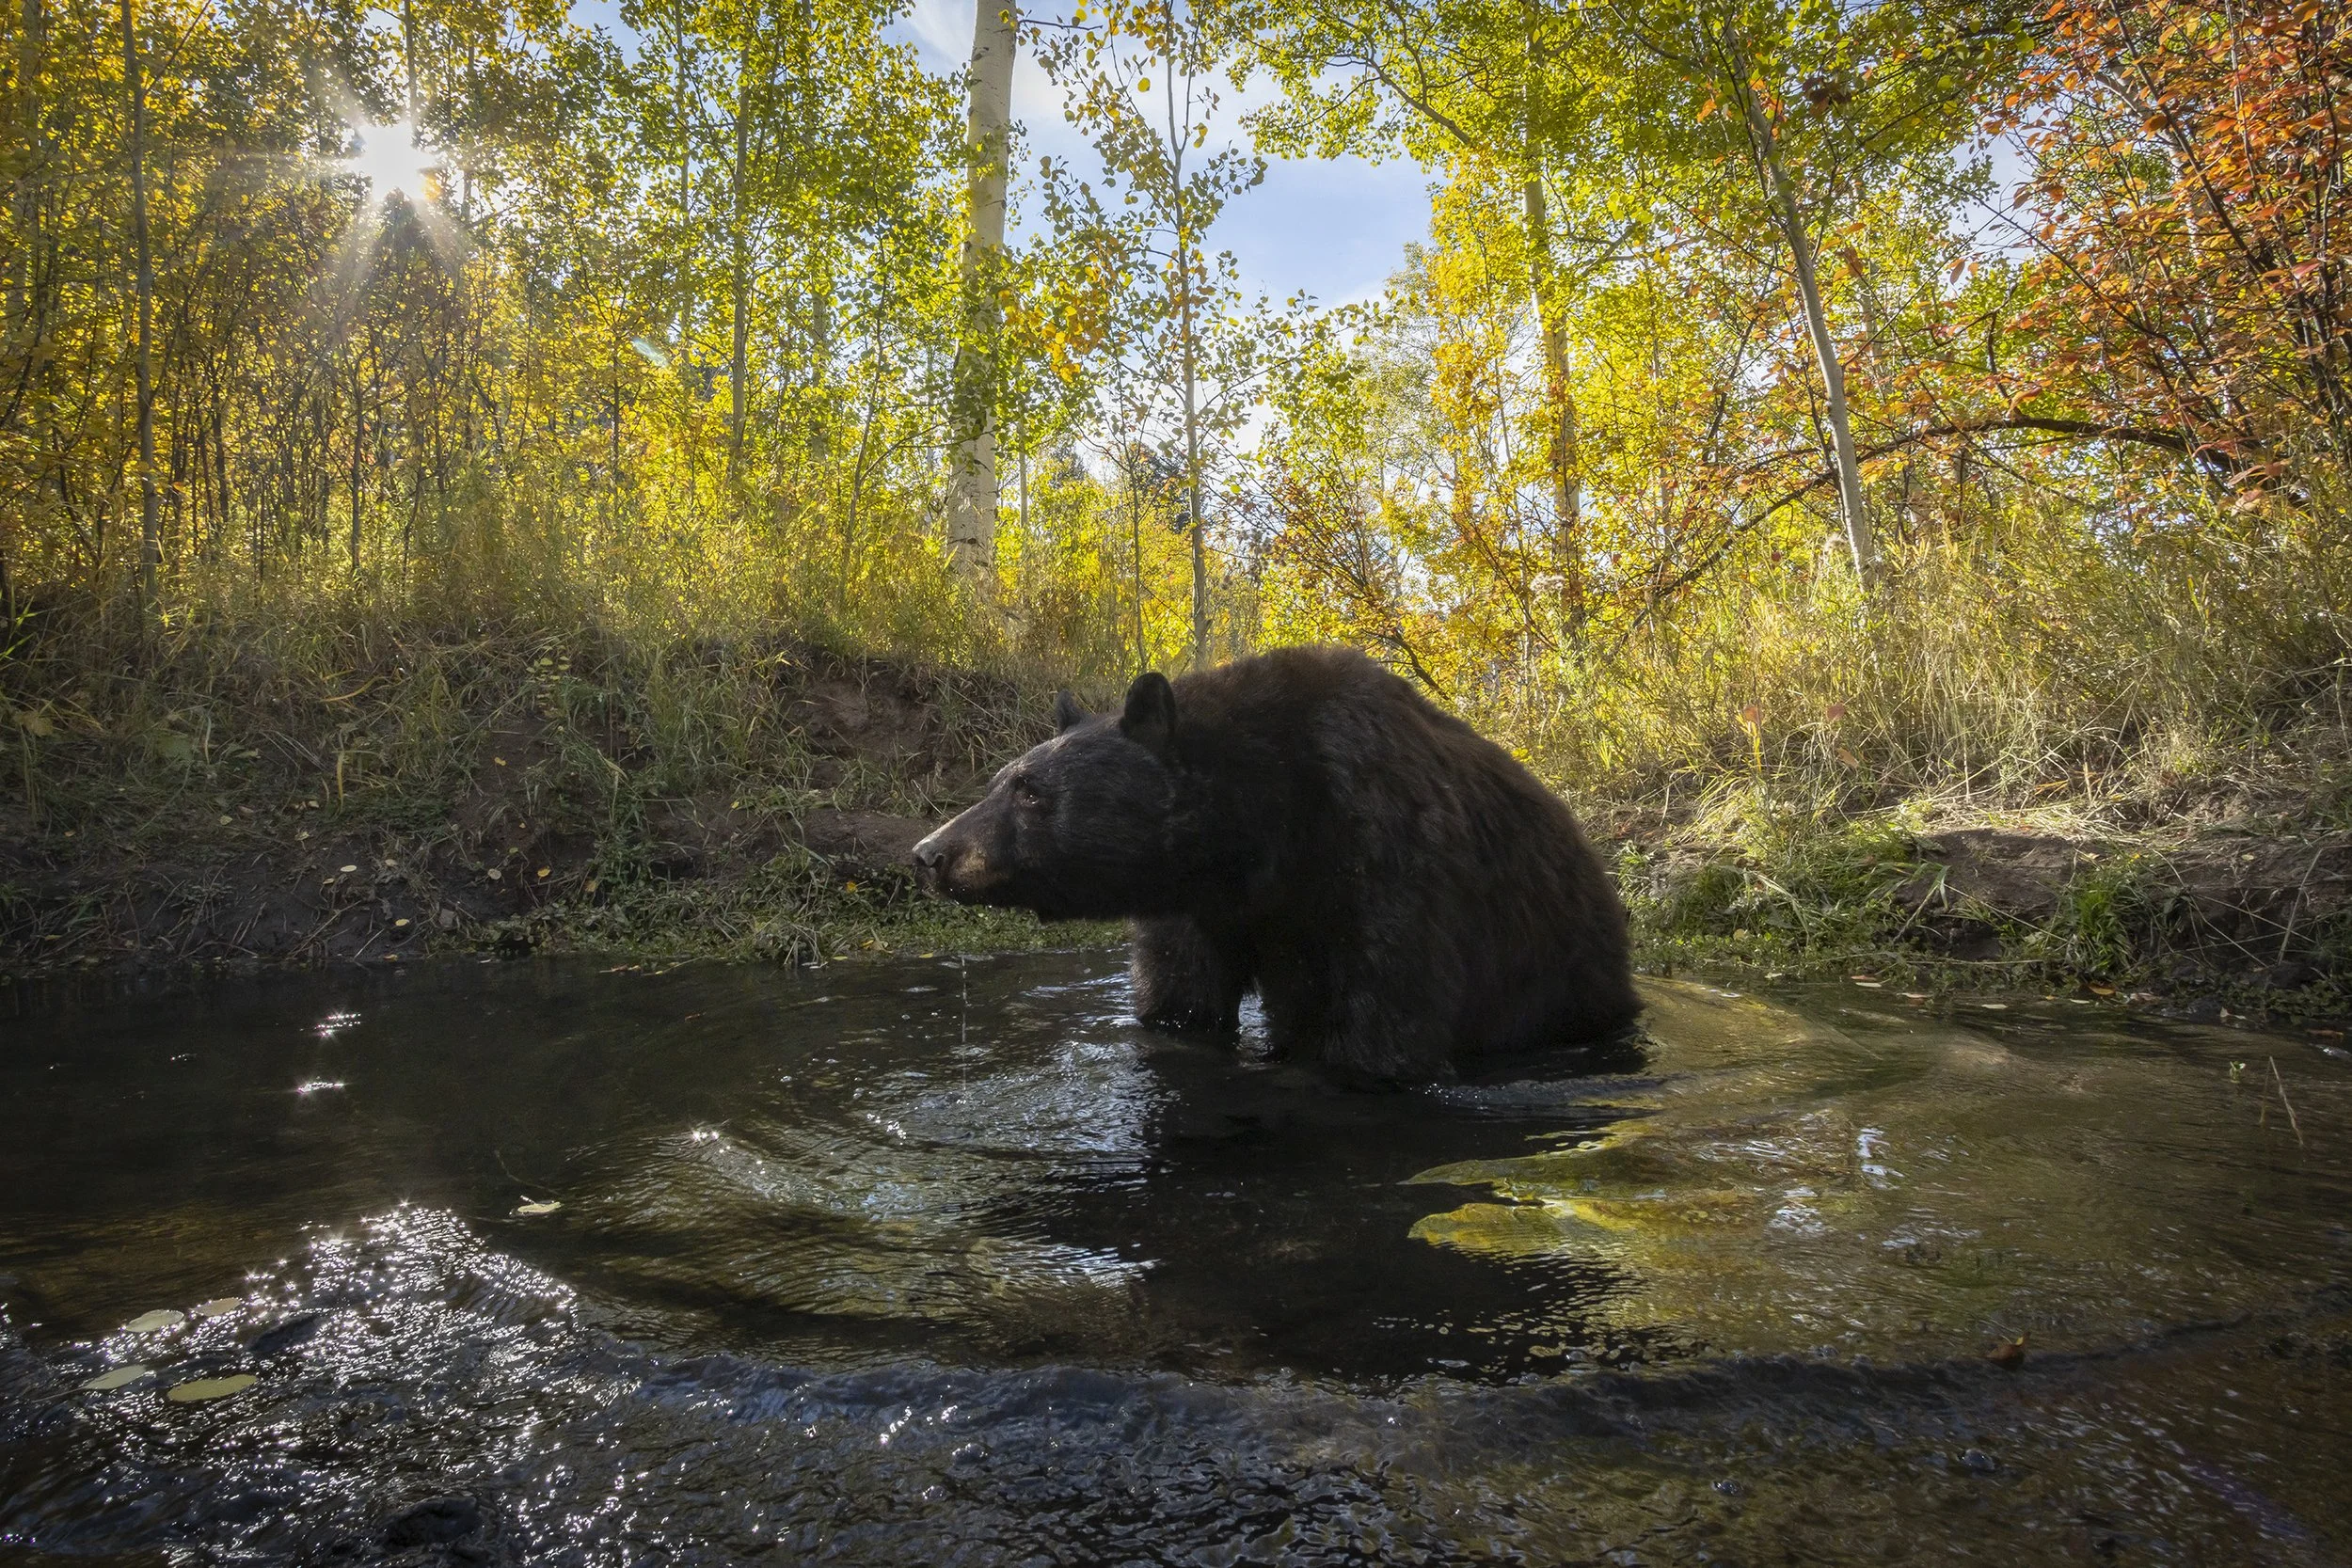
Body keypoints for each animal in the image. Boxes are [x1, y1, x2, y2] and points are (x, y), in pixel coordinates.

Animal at [910, 645, 1639, 1083]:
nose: (930, 853)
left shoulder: (1383, 857)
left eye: (1030, 790)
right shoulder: (1195, 905)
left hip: (1562, 968)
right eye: (1000, 780)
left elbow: (1383, 1019)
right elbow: (1181, 999)